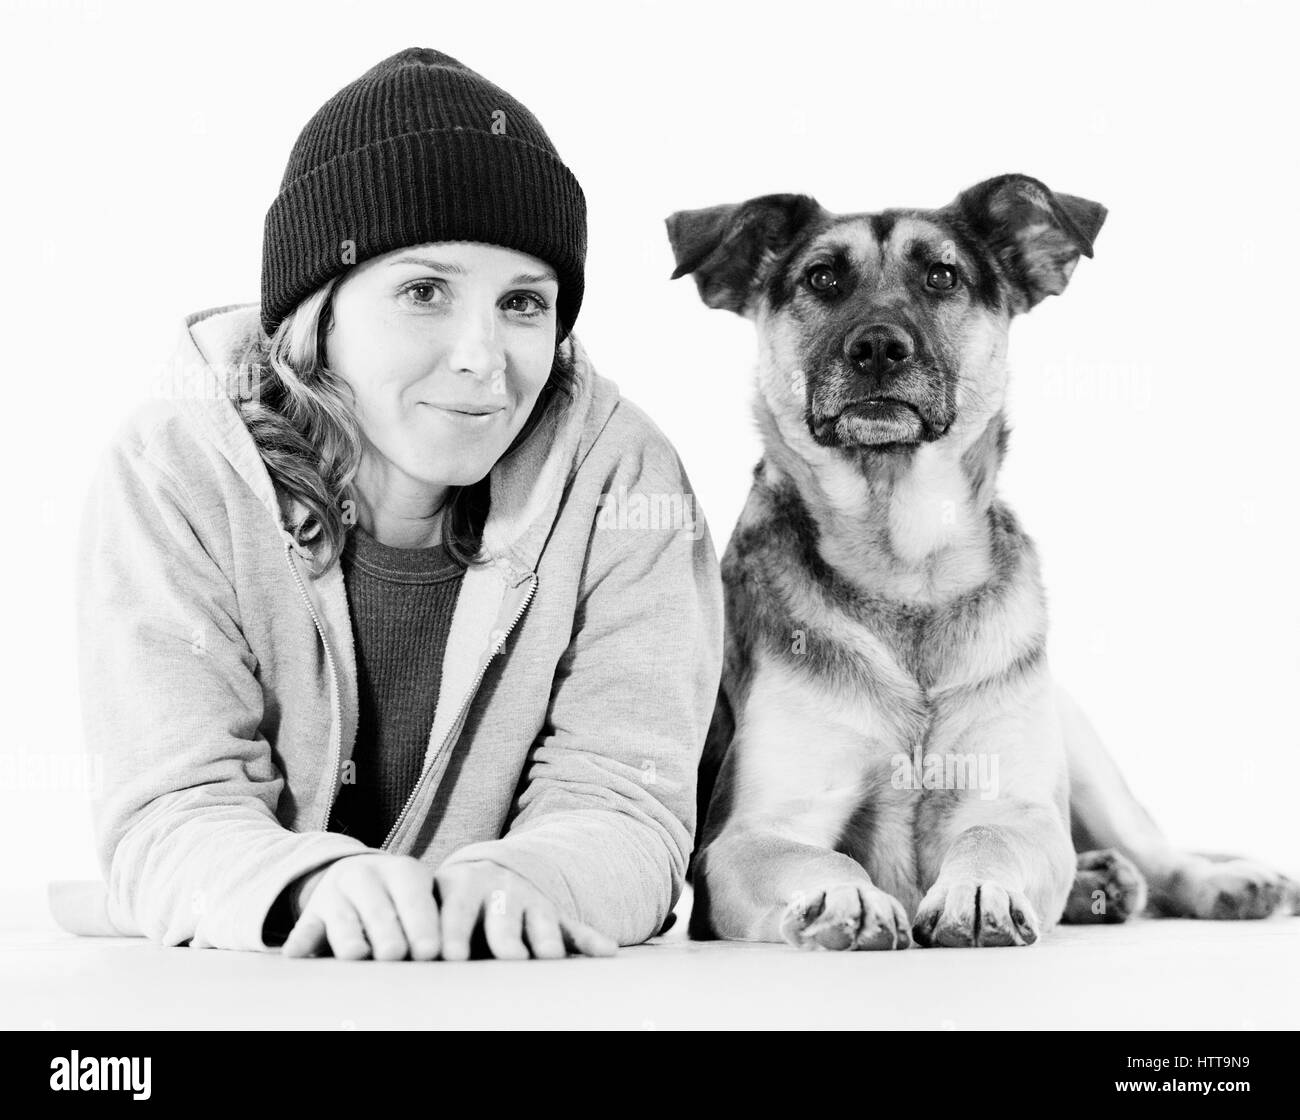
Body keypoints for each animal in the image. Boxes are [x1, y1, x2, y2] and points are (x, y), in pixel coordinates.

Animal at [665, 172, 1294, 945]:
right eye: (822, 277)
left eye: (942, 275)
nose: (878, 347)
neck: (905, 565)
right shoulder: (748, 837)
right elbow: (822, 859)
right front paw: (846, 897)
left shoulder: (1022, 810)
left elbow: (989, 835)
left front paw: (978, 891)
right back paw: (1101, 885)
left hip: (1076, 740)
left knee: (1154, 849)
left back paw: (1216, 882)